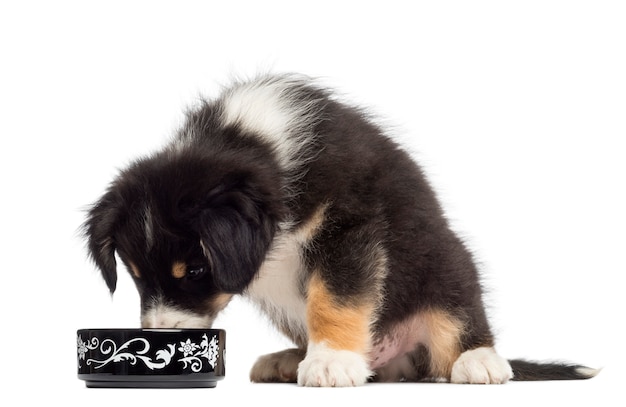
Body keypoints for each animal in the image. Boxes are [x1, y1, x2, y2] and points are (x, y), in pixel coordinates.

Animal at [83, 75, 596, 388]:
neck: (248, 144)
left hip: (447, 264)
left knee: (458, 317)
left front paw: (331, 361)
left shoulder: (349, 228)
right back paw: (292, 359)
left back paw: (480, 361)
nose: (158, 337)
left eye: (193, 271)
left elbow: (335, 298)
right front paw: (321, 359)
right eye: (135, 276)